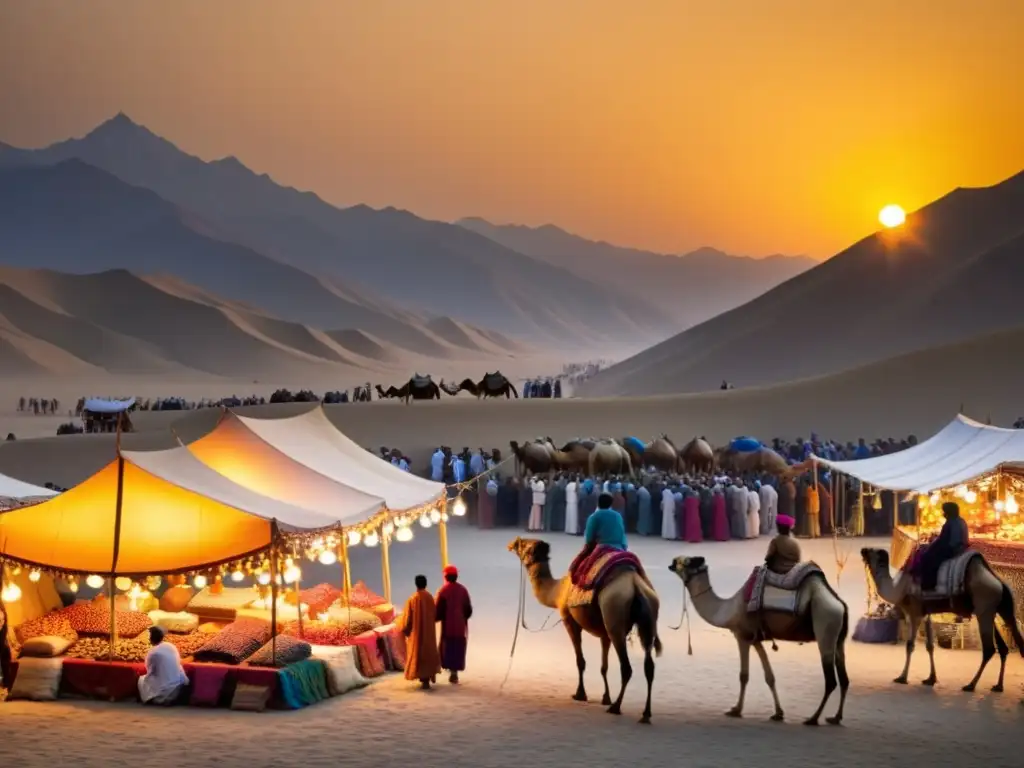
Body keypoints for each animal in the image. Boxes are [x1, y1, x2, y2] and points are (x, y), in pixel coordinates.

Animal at [505, 536, 663, 724]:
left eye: (524, 545)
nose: (512, 543)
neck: (557, 591)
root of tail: (636, 586)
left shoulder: (569, 620)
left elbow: (580, 661)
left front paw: (580, 694)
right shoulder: (604, 634)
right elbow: (604, 666)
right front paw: (605, 697)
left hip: (614, 616)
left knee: (626, 668)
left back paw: (616, 707)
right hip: (648, 620)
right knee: (649, 667)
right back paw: (645, 714)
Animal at [667, 561, 851, 729]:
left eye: (685, 562)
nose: (671, 564)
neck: (729, 609)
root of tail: (840, 604)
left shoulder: (742, 636)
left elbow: (744, 675)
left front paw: (736, 710)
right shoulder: (756, 640)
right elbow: (770, 676)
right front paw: (778, 713)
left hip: (825, 626)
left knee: (831, 681)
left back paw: (813, 718)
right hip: (839, 639)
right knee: (844, 679)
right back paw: (835, 717)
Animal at [860, 548, 1019, 696]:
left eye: (872, 551)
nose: (863, 550)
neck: (899, 588)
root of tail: (999, 583)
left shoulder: (915, 612)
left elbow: (910, 645)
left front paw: (902, 677)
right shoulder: (926, 614)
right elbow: (930, 646)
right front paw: (931, 678)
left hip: (984, 608)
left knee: (989, 649)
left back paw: (970, 685)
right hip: (994, 611)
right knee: (1003, 647)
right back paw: (998, 686)